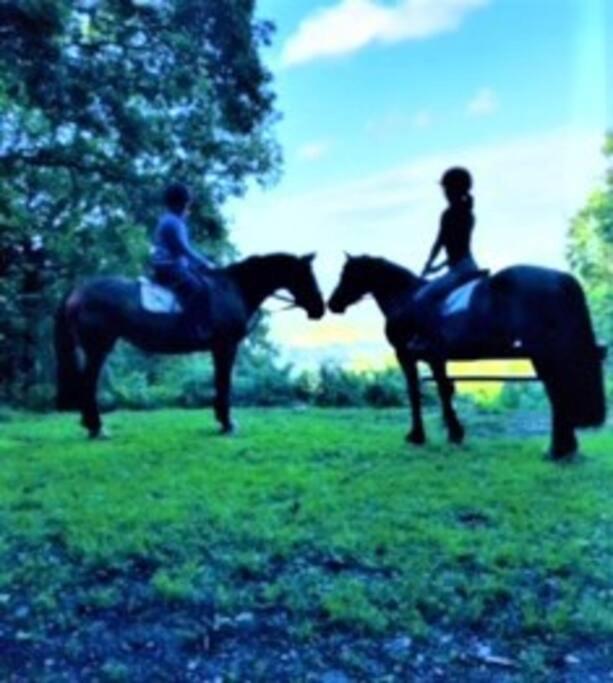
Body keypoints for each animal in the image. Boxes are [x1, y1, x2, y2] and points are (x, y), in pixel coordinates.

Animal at [56, 252, 326, 438]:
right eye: (306, 277)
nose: (319, 308)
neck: (233, 288)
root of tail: (78, 290)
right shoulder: (226, 347)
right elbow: (224, 383)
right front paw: (227, 423)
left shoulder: (219, 349)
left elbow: (219, 382)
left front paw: (222, 420)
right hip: (98, 347)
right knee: (88, 383)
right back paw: (97, 428)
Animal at [328, 256, 604, 460]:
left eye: (346, 274)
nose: (332, 303)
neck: (405, 297)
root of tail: (561, 278)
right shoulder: (435, 358)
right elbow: (443, 390)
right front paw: (454, 433)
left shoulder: (407, 356)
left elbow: (416, 394)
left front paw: (419, 436)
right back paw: (563, 448)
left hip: (543, 353)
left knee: (556, 393)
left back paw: (558, 450)